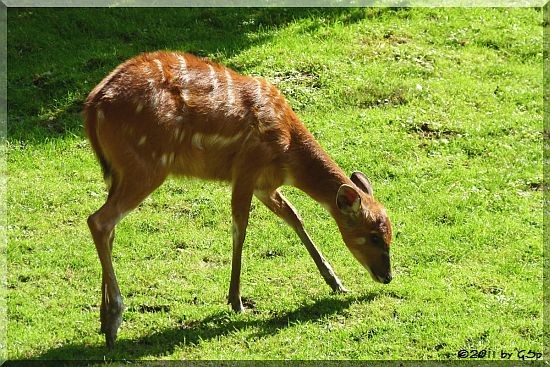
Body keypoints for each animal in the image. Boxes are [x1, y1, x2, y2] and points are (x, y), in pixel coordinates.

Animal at [84, 50, 392, 350]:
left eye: (390, 234)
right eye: (374, 236)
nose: (387, 276)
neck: (289, 149)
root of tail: (92, 106)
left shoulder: (264, 186)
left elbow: (294, 216)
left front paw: (335, 282)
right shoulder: (246, 169)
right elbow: (239, 230)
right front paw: (236, 301)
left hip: (117, 173)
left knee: (109, 228)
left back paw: (103, 317)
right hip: (146, 167)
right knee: (99, 220)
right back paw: (114, 321)